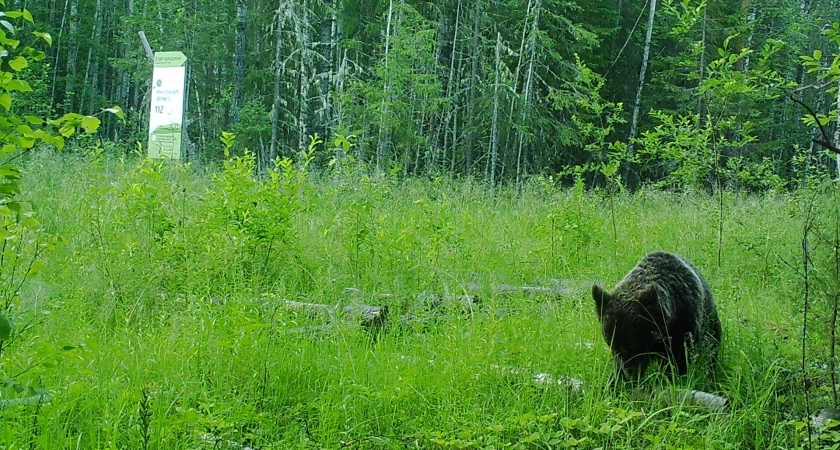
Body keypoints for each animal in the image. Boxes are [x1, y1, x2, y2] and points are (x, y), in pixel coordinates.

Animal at [592, 251, 720, 382]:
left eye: (635, 343)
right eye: (613, 345)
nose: (631, 375)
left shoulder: (683, 328)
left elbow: (678, 360)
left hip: (709, 320)